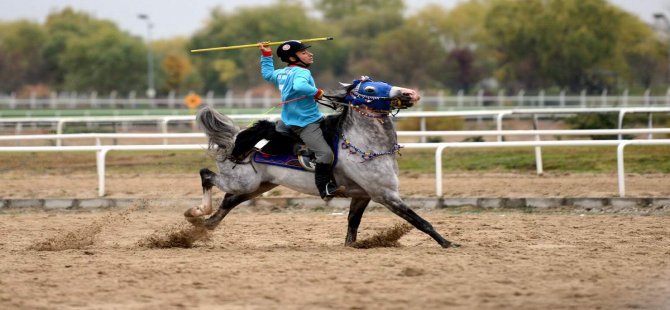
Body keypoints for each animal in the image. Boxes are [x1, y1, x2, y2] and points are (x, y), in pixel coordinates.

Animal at [186, 77, 460, 249]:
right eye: (370, 90)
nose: (409, 93)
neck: (364, 144)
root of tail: (236, 138)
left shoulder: (362, 195)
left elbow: (353, 224)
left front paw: (351, 246)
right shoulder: (385, 195)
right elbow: (419, 220)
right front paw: (448, 243)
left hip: (257, 186)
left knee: (228, 202)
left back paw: (202, 225)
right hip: (241, 182)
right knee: (206, 174)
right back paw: (196, 213)